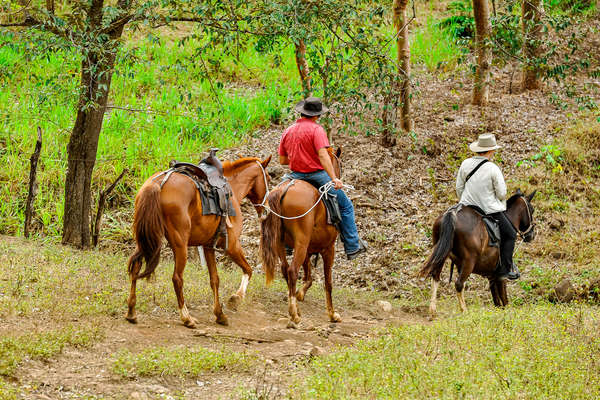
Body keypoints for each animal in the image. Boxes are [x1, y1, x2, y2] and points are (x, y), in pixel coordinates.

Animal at [126, 155, 272, 326]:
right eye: (268, 178)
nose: (267, 211)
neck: (232, 189)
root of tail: (157, 184)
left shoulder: (208, 246)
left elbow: (215, 279)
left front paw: (219, 314)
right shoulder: (232, 245)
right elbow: (248, 270)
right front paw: (235, 299)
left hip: (144, 239)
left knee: (136, 266)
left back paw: (131, 312)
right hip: (180, 244)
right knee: (177, 278)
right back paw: (186, 317)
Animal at [258, 147, 342, 324]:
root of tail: (284, 190)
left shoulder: (308, 250)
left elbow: (308, 276)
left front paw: (299, 294)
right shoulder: (328, 249)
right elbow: (328, 282)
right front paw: (332, 314)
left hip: (281, 243)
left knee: (285, 269)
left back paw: (295, 307)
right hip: (301, 243)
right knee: (292, 271)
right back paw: (294, 313)